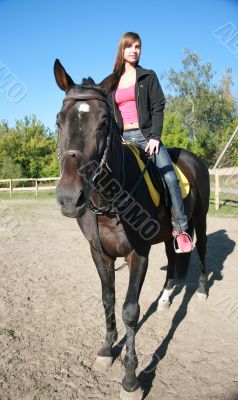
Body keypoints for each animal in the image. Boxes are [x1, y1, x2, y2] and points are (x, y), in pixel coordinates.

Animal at [54, 59, 210, 400]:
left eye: (103, 123)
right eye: (59, 122)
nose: (70, 198)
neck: (111, 199)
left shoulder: (138, 254)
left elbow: (129, 310)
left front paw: (130, 378)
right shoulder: (99, 253)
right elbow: (107, 299)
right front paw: (105, 350)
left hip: (201, 219)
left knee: (202, 249)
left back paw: (204, 289)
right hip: (166, 235)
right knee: (174, 260)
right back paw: (165, 299)